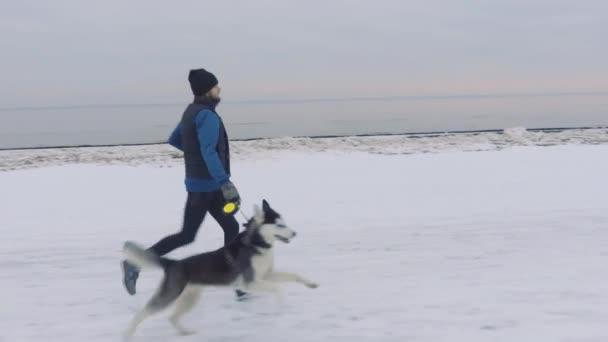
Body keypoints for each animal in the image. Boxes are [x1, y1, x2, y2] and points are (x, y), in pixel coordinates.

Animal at [120, 200, 318, 340]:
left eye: (285, 223)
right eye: (279, 225)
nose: (294, 233)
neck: (257, 244)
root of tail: (172, 263)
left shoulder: (267, 275)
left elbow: (293, 275)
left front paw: (311, 283)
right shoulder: (249, 282)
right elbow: (278, 288)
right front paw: (281, 304)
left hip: (191, 297)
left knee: (172, 318)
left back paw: (186, 333)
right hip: (170, 295)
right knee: (143, 312)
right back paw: (127, 334)